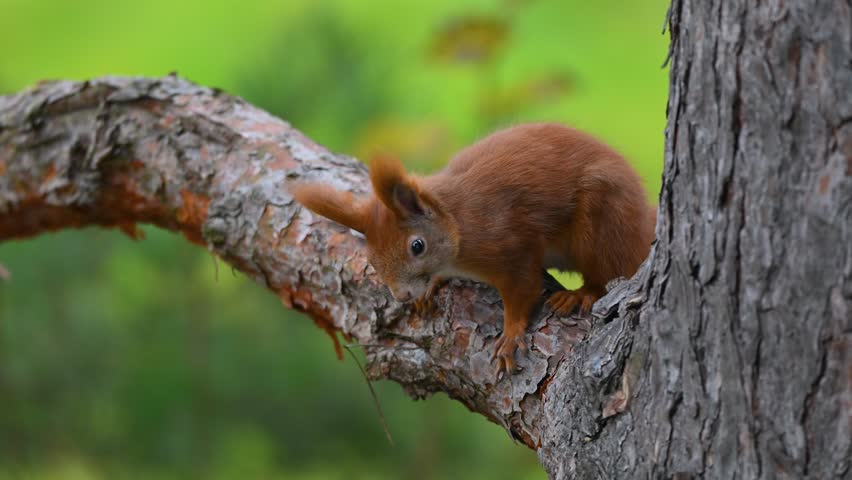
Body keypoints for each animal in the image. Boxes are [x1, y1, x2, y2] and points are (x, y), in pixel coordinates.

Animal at [292, 123, 656, 375]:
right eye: (372, 259)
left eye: (417, 246)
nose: (402, 296)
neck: (458, 223)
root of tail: (643, 222)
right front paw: (431, 288)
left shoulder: (511, 247)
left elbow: (523, 291)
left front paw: (510, 335)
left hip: (603, 222)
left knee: (608, 272)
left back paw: (581, 293)